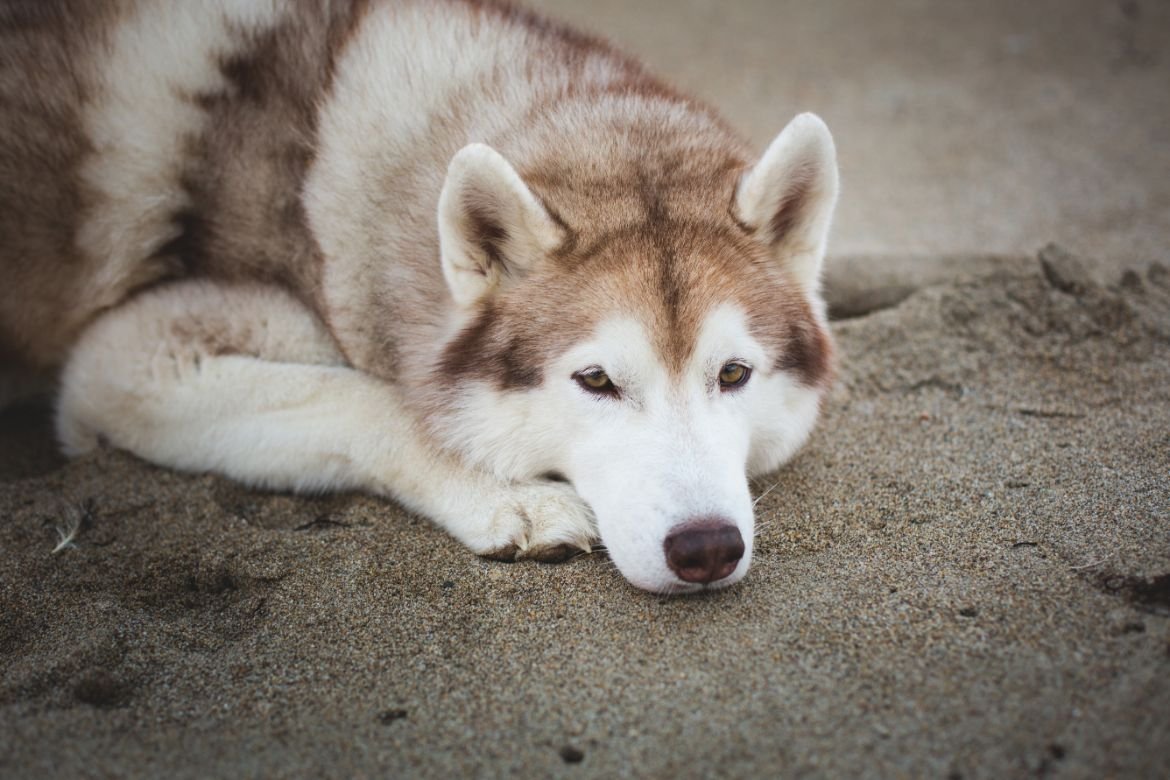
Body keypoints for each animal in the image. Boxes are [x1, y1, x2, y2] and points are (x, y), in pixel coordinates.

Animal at [0, 0, 838, 593]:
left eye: (733, 373)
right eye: (595, 380)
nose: (707, 547)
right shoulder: (120, 363)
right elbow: (366, 398)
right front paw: (508, 493)